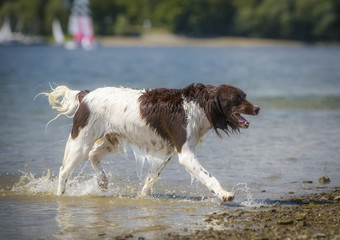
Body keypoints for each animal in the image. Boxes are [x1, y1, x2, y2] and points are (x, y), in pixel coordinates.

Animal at [41, 83, 260, 202]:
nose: (257, 108)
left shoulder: (168, 153)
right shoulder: (186, 154)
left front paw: (142, 197)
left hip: (113, 142)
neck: (197, 105)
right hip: (82, 142)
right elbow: (209, 177)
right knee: (64, 170)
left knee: (94, 155)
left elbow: (150, 178)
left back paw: (102, 182)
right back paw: (61, 195)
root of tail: (85, 94)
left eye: (244, 96)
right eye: (237, 99)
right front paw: (224, 194)